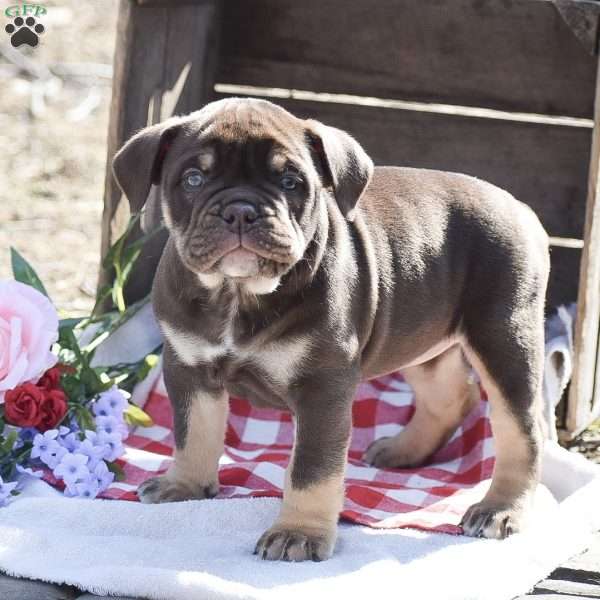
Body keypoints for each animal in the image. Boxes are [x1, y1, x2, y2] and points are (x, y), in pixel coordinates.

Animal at [111, 96, 548, 560]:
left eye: (290, 181)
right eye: (193, 179)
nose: (241, 210)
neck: (236, 293)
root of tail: (520, 208)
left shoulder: (321, 387)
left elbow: (311, 467)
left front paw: (297, 533)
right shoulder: (189, 369)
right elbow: (193, 430)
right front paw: (186, 485)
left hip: (504, 337)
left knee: (519, 428)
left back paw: (500, 508)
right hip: (420, 339)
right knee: (450, 396)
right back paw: (403, 449)